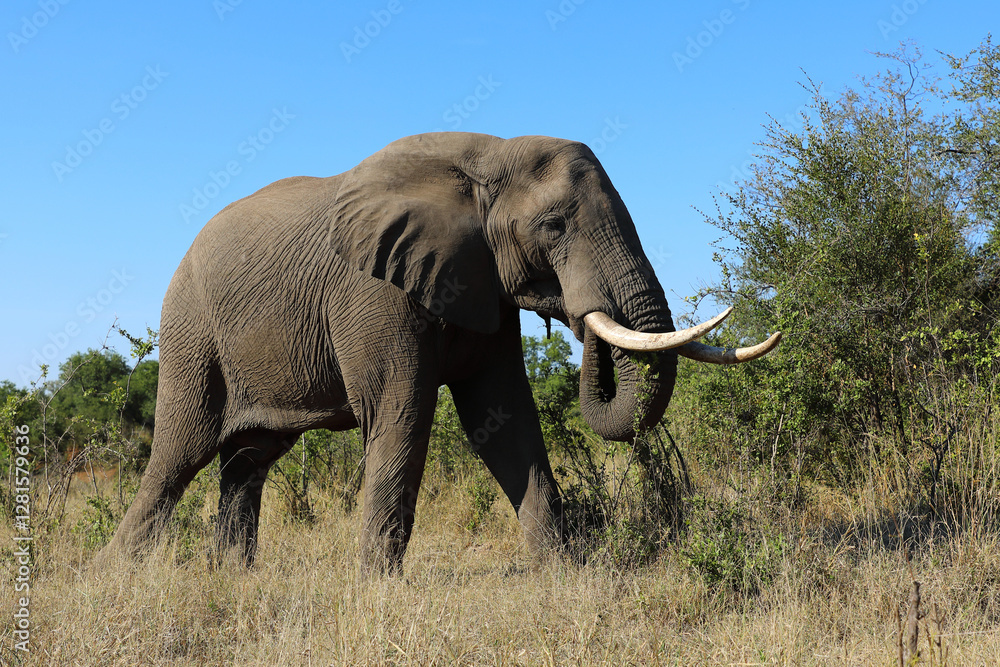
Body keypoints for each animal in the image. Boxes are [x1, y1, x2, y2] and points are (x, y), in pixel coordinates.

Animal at [105, 132, 779, 572]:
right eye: (554, 227)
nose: (574, 310)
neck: (485, 157)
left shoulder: (485, 288)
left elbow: (503, 421)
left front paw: (563, 574)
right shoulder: (374, 289)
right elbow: (402, 415)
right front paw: (376, 589)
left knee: (250, 458)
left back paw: (231, 578)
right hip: (192, 330)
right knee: (180, 452)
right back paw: (115, 574)